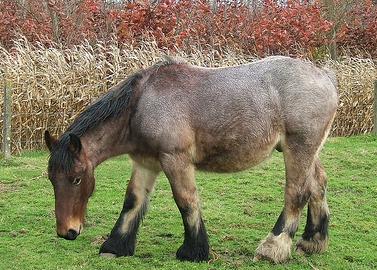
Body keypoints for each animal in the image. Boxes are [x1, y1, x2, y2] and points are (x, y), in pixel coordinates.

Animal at [44, 55, 338, 264]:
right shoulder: (145, 162)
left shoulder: (175, 159)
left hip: (298, 148)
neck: (141, 104)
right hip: (308, 151)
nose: (66, 231)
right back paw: (312, 241)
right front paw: (115, 246)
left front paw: (194, 250)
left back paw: (273, 247)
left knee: (297, 192)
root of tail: (326, 77)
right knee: (318, 185)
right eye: (51, 180)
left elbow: (185, 201)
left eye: (76, 179)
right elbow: (132, 201)